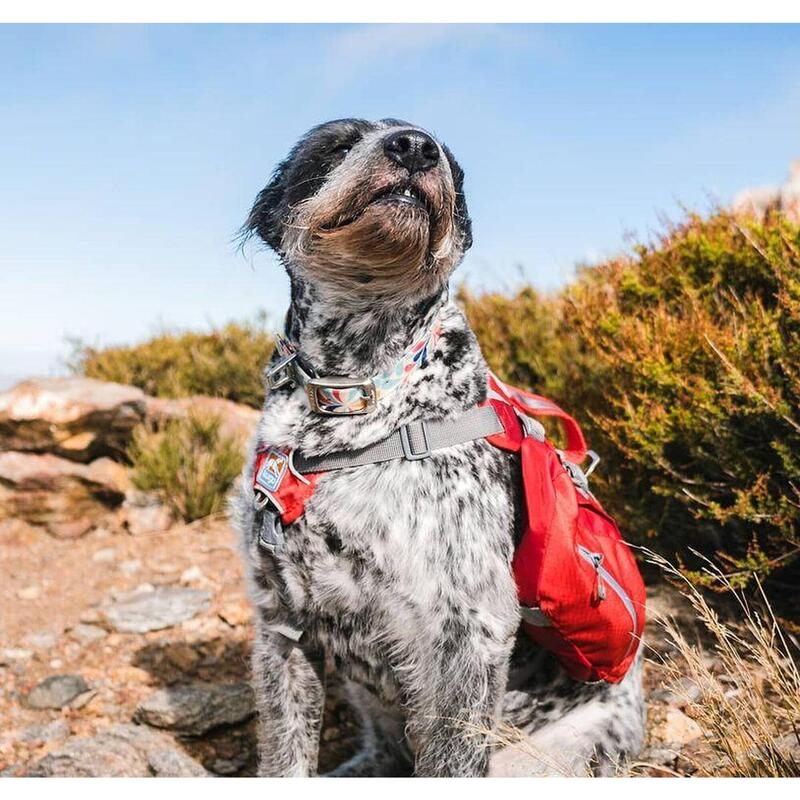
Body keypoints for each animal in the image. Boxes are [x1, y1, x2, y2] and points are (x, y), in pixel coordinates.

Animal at [231, 117, 644, 776]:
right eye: (336, 143)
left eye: (447, 156)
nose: (414, 145)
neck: (358, 395)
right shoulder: (281, 624)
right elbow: (286, 751)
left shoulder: (468, 632)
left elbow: (452, 755)